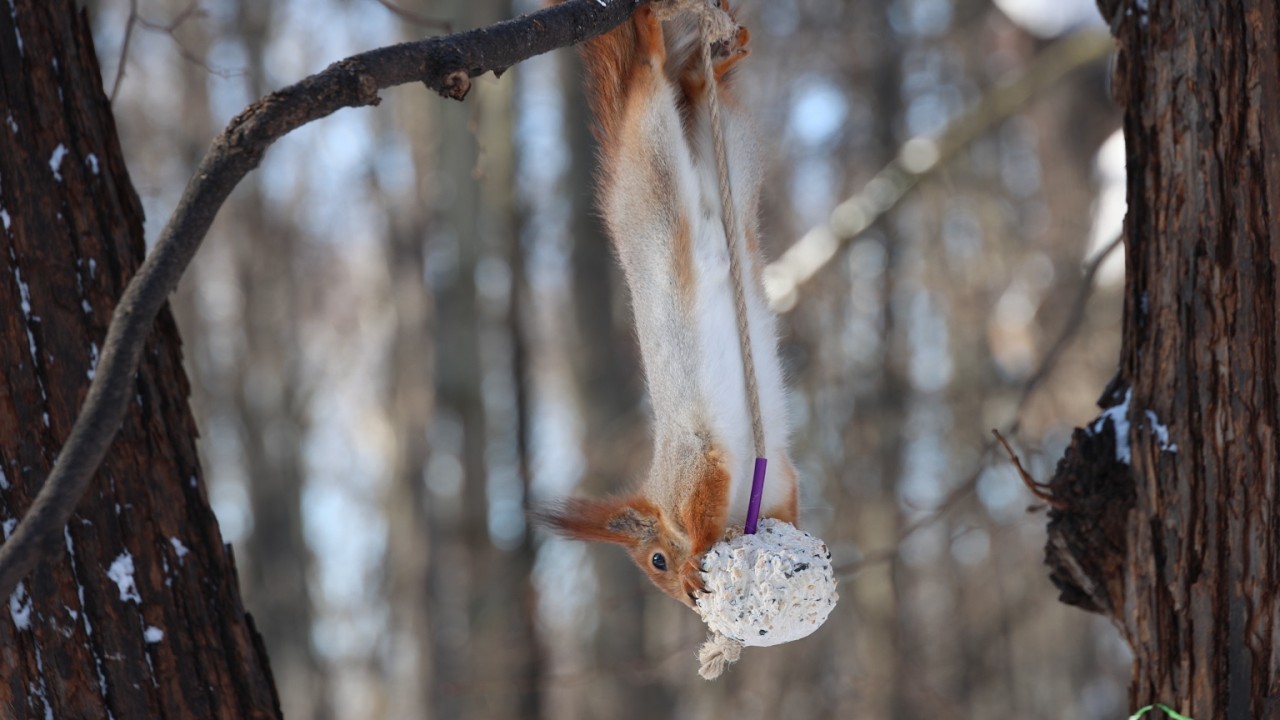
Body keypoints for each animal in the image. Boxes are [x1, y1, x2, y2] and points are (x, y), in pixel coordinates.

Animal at [540, 0, 798, 608]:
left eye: (656, 559)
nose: (688, 600)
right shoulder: (777, 485)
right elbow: (795, 507)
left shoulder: (697, 464)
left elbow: (700, 520)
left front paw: (695, 561)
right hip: (730, 151)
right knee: (699, 99)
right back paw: (706, 68)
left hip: (653, 160)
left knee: (648, 88)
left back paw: (653, 44)